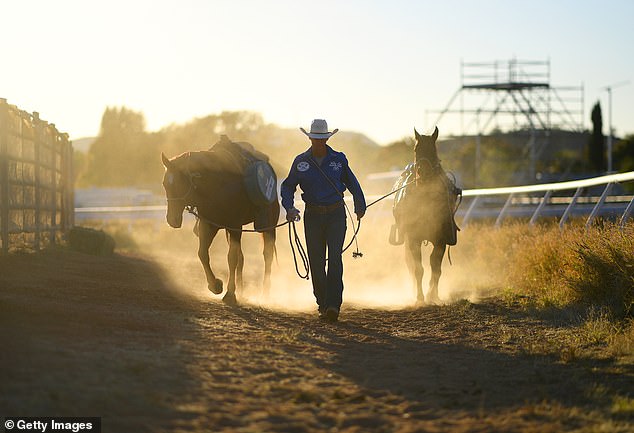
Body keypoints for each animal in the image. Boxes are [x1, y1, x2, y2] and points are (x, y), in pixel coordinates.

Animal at [159, 142, 278, 304]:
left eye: (179, 184)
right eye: (165, 184)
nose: (172, 219)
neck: (217, 184)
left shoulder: (235, 227)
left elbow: (231, 258)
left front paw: (230, 293)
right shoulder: (208, 224)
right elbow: (203, 254)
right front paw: (215, 286)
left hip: (269, 226)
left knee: (267, 255)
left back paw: (265, 293)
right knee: (242, 257)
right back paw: (241, 291)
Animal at [388, 126, 456, 304]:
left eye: (433, 149)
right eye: (415, 149)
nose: (423, 172)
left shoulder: (440, 239)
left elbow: (436, 266)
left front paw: (433, 294)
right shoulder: (413, 238)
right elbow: (418, 268)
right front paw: (420, 297)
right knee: (410, 264)